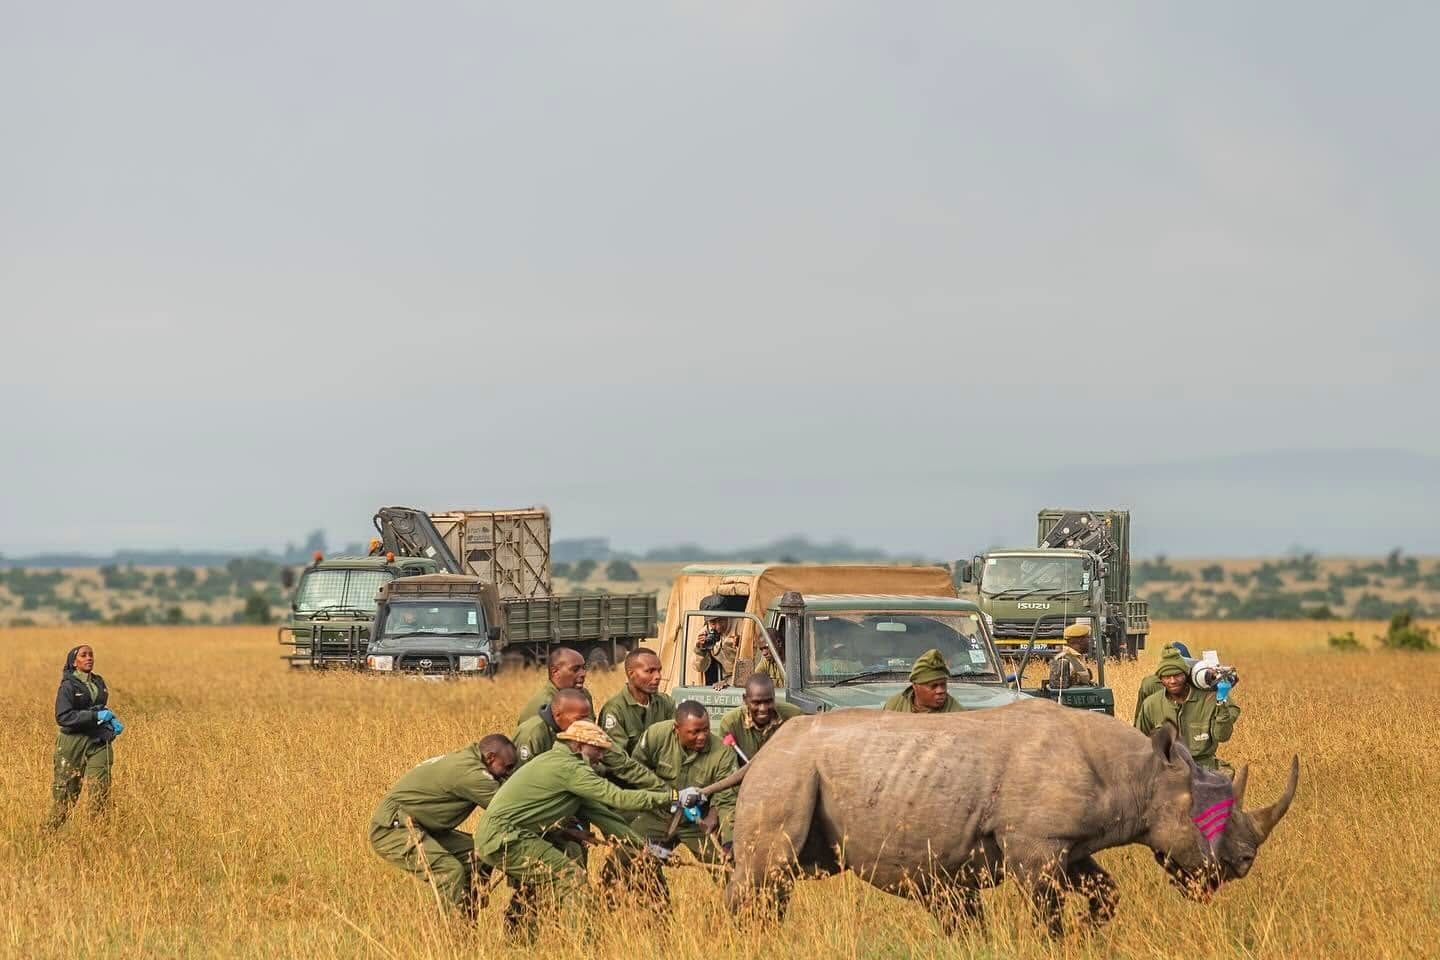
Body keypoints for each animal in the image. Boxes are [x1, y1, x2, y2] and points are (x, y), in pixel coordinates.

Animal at [723, 699, 1298, 935]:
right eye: (1203, 821)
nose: (1244, 862)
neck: (1140, 774)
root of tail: (765, 749)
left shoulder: (1066, 843)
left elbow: (1105, 892)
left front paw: (1088, 931)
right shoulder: (1035, 844)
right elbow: (1046, 911)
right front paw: (1060, 938)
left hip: (791, 769)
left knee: (767, 881)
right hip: (787, 772)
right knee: (766, 873)